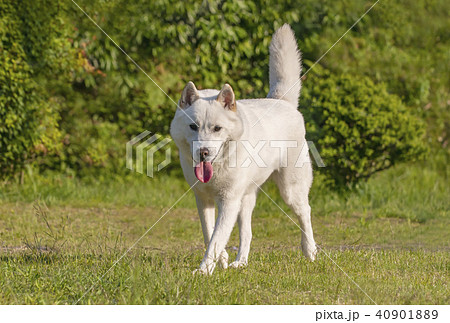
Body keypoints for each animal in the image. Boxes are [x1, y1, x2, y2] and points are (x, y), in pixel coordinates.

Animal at [171, 24, 318, 274]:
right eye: (193, 127)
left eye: (217, 128)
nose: (203, 153)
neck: (219, 166)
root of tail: (283, 101)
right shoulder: (204, 200)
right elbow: (210, 235)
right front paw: (221, 260)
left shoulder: (229, 202)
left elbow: (216, 239)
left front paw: (203, 271)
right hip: (246, 200)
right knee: (247, 233)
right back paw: (240, 262)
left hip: (290, 191)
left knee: (305, 213)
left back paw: (310, 251)